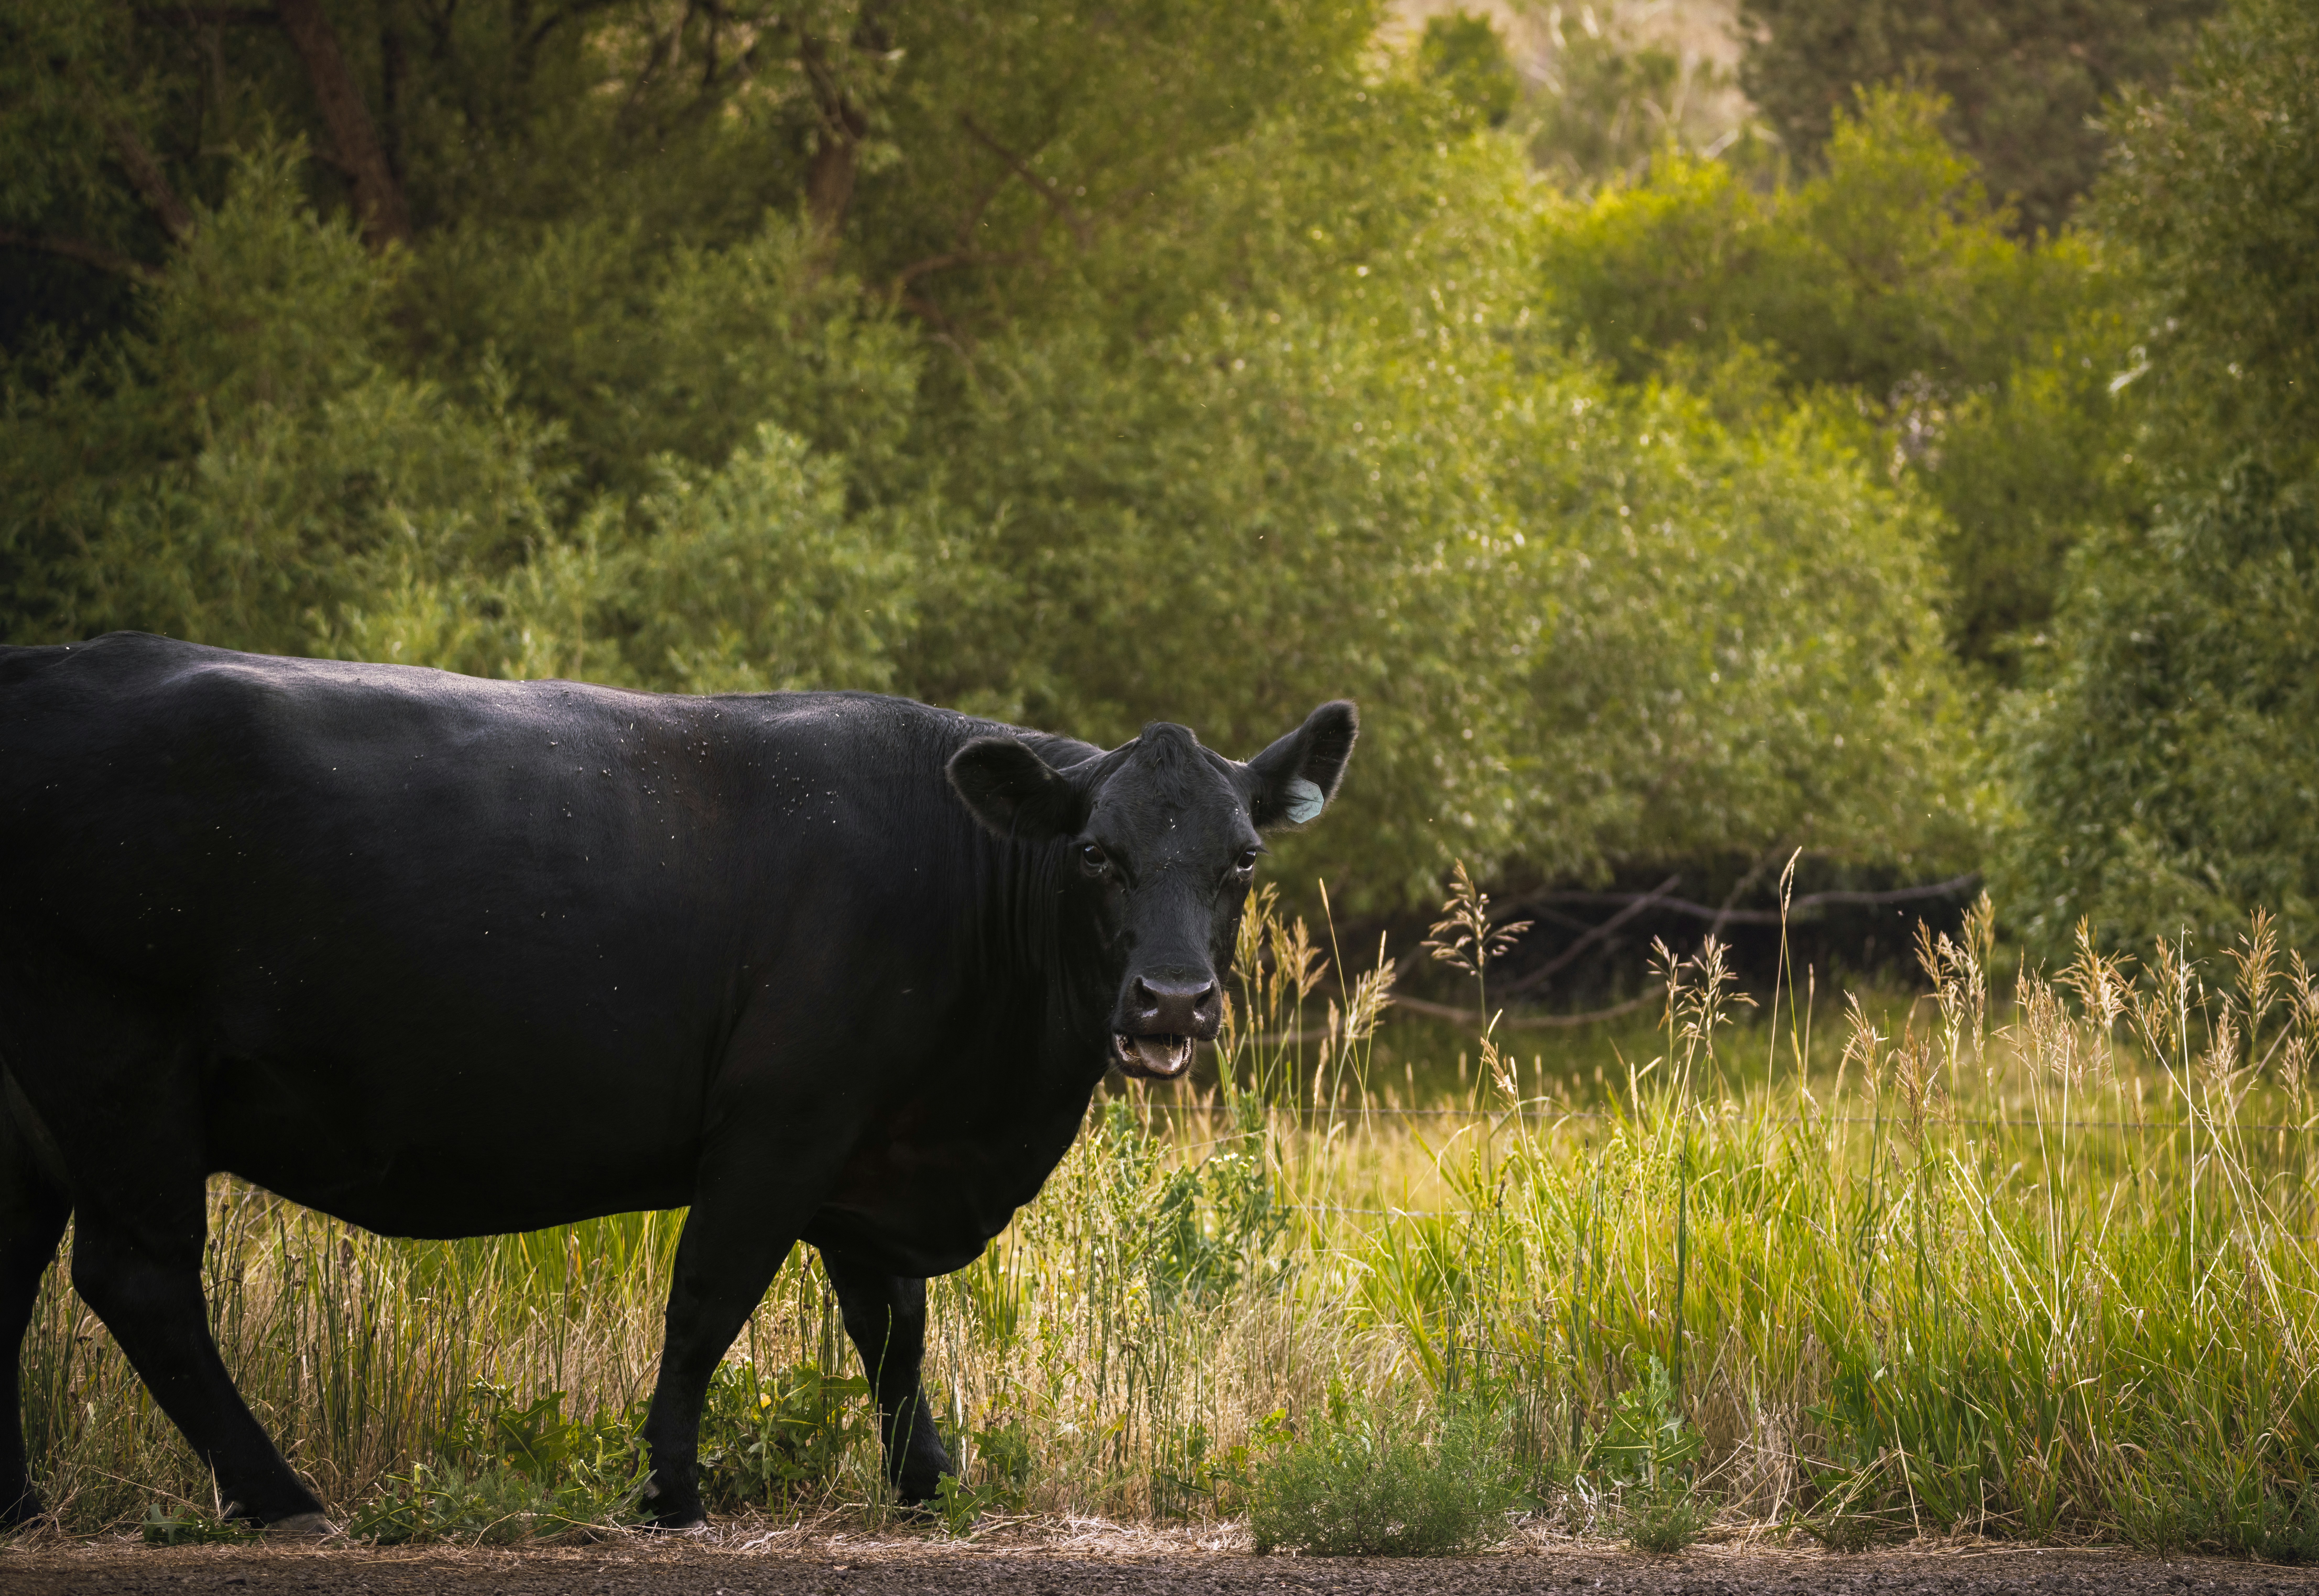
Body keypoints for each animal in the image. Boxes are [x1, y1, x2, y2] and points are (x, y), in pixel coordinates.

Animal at [0, 632, 1356, 1532]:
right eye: (1094, 853)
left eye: (1243, 857)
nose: (1172, 1002)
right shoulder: (782, 1120)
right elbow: (709, 1299)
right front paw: (667, 1490)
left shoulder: (876, 1149)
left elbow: (893, 1331)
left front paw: (925, 1487)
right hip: (119, 1065)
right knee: (141, 1279)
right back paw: (280, 1497)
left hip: (37, 1108)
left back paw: (20, 1501)